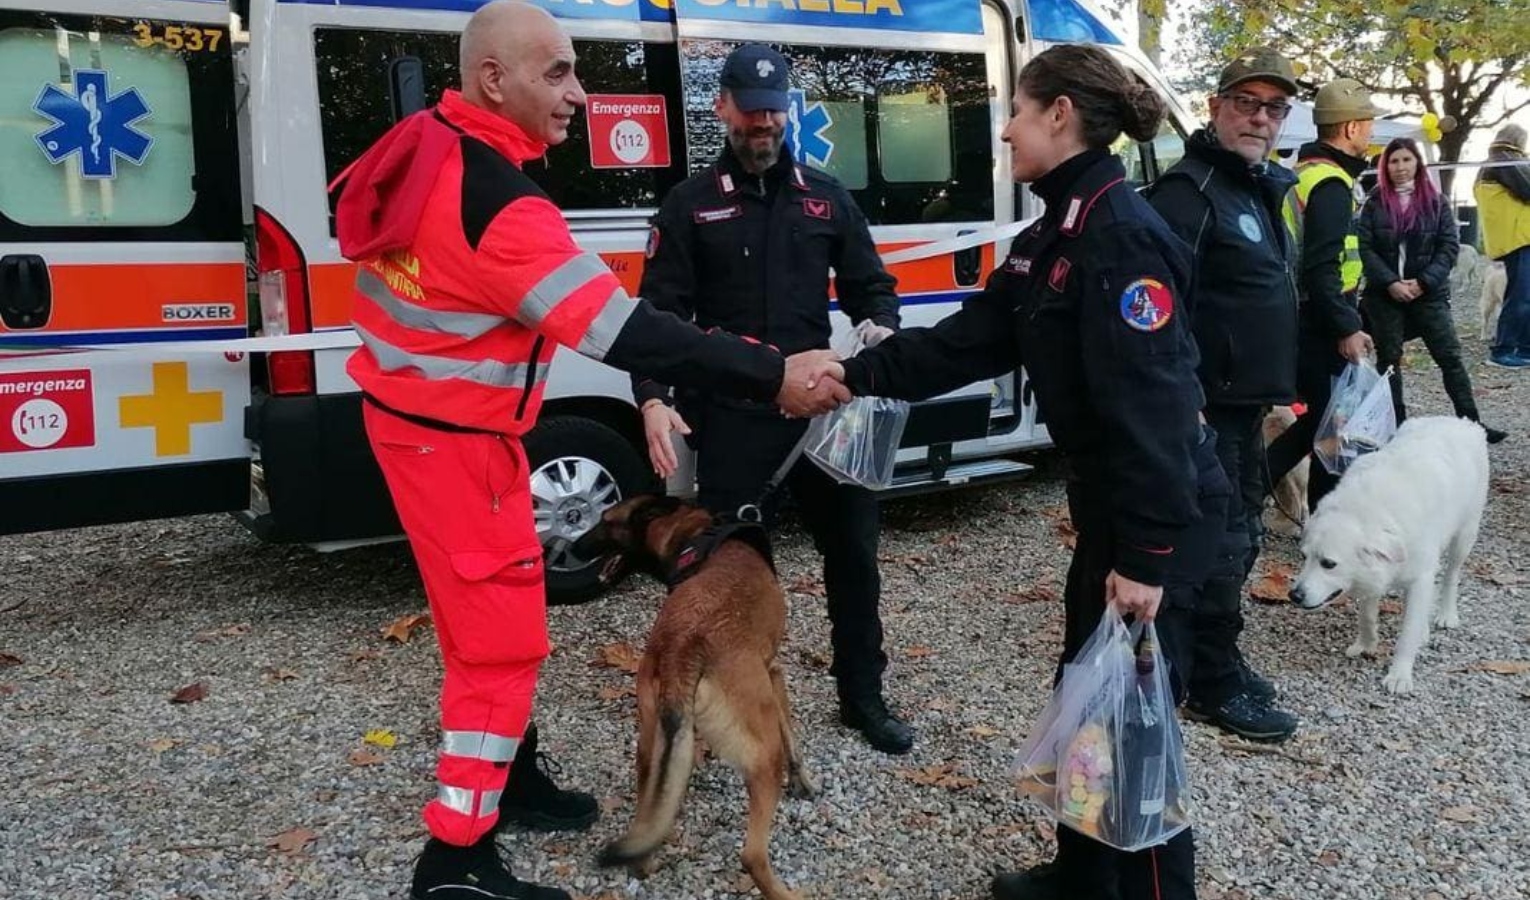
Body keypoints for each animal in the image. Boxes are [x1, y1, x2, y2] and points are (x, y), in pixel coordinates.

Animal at [575, 495, 820, 893]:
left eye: (606, 520)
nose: (571, 547)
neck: (692, 533)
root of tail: (683, 647)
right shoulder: (775, 673)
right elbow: (792, 738)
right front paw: (804, 782)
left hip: (650, 747)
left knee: (647, 818)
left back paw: (642, 862)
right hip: (765, 757)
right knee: (752, 855)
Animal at [1285, 419, 1487, 691]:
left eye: (1328, 564)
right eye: (1304, 557)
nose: (1294, 595)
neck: (1368, 512)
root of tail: (1462, 421)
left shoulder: (1420, 578)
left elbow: (1407, 633)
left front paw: (1400, 675)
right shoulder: (1376, 575)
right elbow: (1367, 615)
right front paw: (1366, 644)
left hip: (1464, 536)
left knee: (1451, 576)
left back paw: (1447, 614)